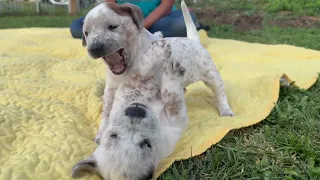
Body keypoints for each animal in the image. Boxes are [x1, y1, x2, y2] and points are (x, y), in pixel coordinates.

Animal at [71, 38, 189, 179]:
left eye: (113, 135)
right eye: (147, 143)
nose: (135, 110)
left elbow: (144, 71)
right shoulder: (175, 122)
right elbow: (167, 92)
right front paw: (165, 60)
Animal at [79, 0, 235, 144]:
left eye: (112, 26)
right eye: (86, 33)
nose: (94, 48)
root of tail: (193, 40)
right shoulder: (111, 90)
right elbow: (106, 113)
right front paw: (101, 134)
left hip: (211, 73)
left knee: (219, 92)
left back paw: (225, 110)